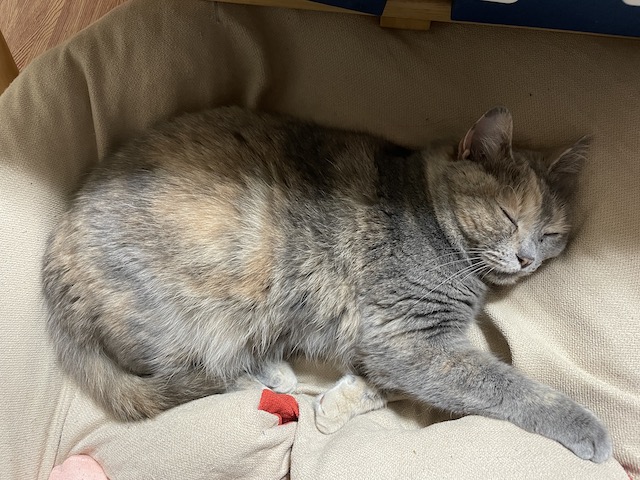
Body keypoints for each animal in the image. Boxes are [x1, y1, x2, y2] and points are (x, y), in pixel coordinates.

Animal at [42, 105, 611, 463]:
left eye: (552, 234)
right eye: (507, 216)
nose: (527, 258)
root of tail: (56, 257)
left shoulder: (394, 343)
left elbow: (388, 382)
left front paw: (337, 406)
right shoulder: (407, 337)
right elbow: (507, 385)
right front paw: (588, 429)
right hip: (207, 309)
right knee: (192, 372)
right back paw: (270, 375)